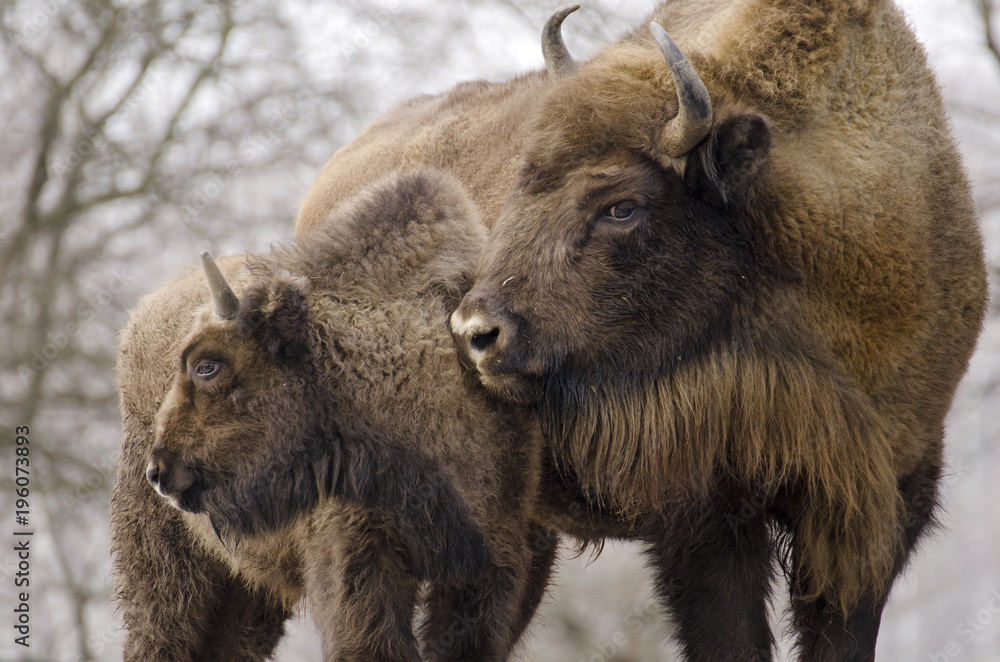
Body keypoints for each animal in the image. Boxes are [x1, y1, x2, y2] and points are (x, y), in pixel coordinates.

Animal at [116, 172, 556, 662]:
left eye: (206, 366)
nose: (160, 471)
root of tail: (137, 321)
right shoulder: (358, 561)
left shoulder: (493, 563)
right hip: (165, 569)